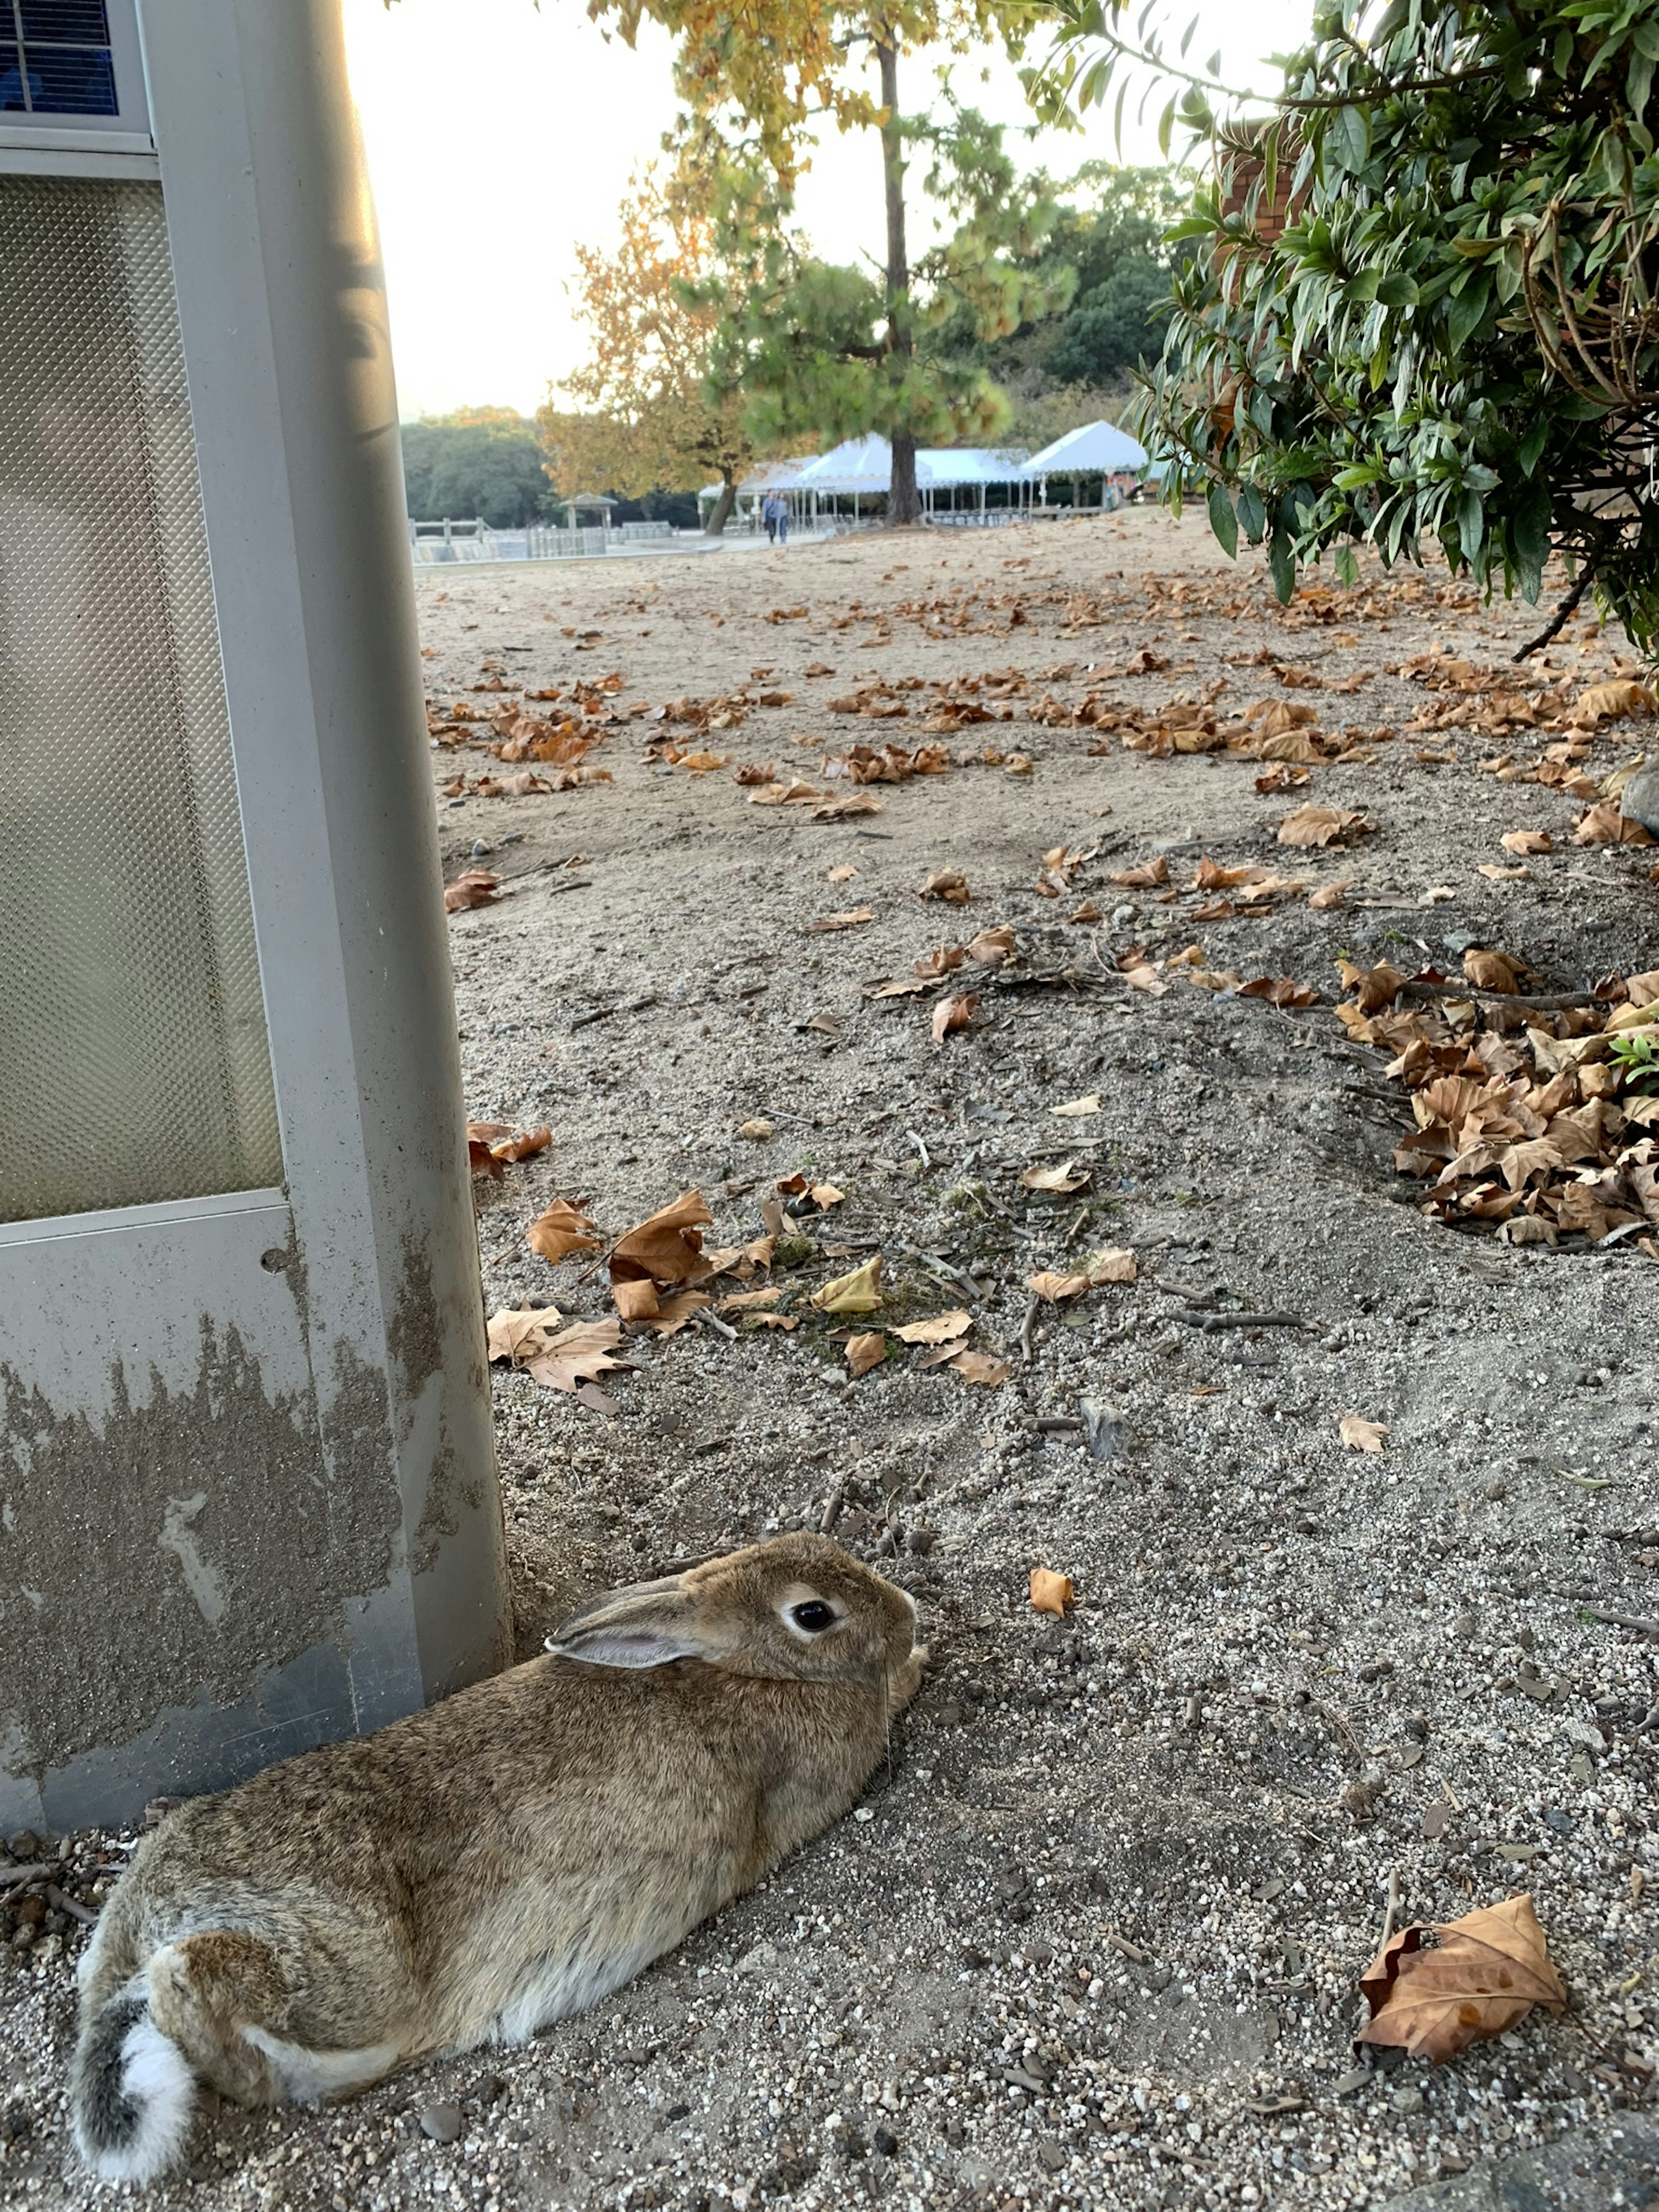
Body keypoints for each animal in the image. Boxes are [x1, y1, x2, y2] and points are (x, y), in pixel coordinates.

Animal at [71, 1539, 925, 2177]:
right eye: (814, 1614)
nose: (908, 1615)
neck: (746, 1668)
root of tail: (136, 1920)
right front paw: (917, 1663)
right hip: (344, 1964)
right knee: (197, 1986)